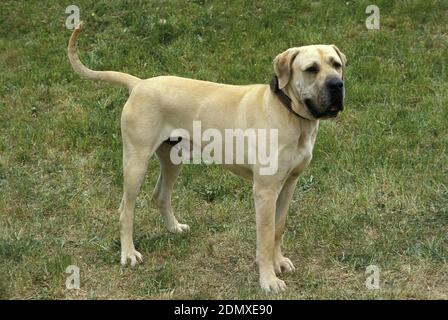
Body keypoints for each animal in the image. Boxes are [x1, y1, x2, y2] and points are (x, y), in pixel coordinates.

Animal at [67, 22, 346, 294]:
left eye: (336, 64)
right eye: (311, 69)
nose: (337, 85)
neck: (289, 113)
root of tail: (139, 84)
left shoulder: (288, 185)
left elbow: (278, 229)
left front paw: (278, 263)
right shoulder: (265, 191)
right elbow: (265, 237)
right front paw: (268, 279)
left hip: (173, 159)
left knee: (160, 195)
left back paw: (174, 228)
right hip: (136, 162)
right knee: (126, 209)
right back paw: (128, 253)